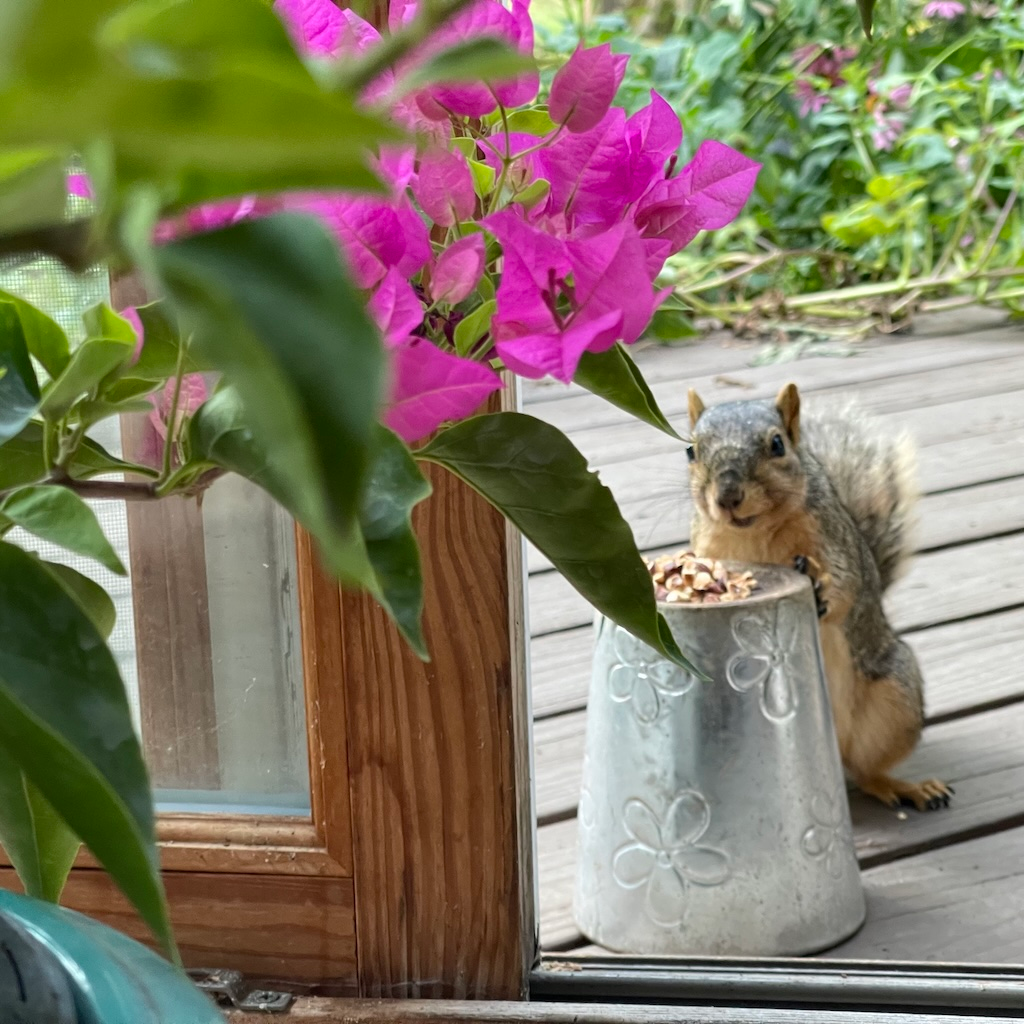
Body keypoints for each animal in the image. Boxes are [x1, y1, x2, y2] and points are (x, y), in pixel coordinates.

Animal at [685, 382, 953, 813]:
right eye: (690, 451)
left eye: (777, 444)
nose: (727, 495)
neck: (753, 533)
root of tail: (830, 747)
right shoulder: (709, 544)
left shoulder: (830, 540)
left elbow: (846, 585)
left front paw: (821, 584)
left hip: (895, 696)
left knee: (866, 770)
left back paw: (907, 787)